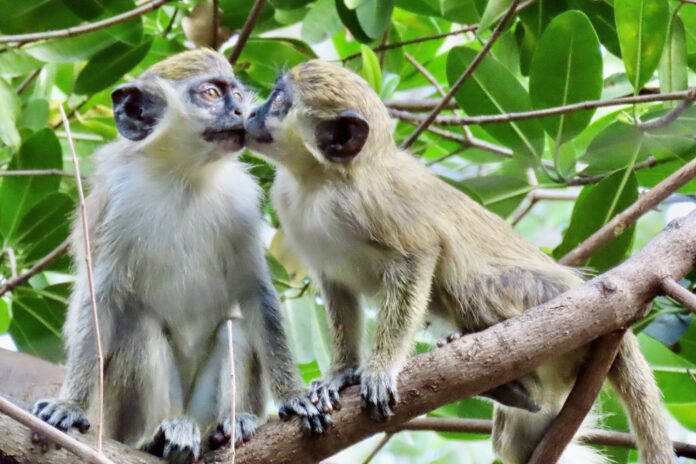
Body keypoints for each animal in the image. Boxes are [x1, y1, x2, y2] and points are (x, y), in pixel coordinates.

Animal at [30, 49, 328, 464]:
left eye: (238, 94)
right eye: (211, 93)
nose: (241, 111)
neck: (184, 176)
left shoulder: (241, 202)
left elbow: (257, 294)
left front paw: (296, 397)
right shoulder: (118, 200)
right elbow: (100, 298)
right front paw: (70, 405)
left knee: (235, 330)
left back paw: (230, 426)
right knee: (138, 327)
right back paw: (154, 438)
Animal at [242, 60, 676, 464]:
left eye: (278, 99)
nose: (250, 114)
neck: (319, 182)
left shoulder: (371, 204)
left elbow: (420, 253)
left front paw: (380, 368)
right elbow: (337, 286)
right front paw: (341, 373)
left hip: (538, 298)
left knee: (467, 284)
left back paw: (517, 385)